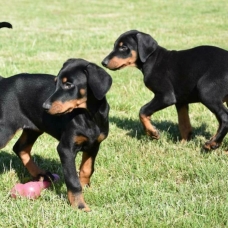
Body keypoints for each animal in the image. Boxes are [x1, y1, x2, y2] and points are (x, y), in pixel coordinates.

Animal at [0, 58, 112, 211]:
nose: (44, 107)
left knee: (20, 147)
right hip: (5, 129)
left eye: (68, 84)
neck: (89, 115)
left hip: (34, 128)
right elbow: (72, 180)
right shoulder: (65, 149)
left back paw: (41, 174)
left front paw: (85, 187)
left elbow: (87, 169)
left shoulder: (94, 145)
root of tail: (4, 81)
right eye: (55, 83)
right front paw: (79, 205)